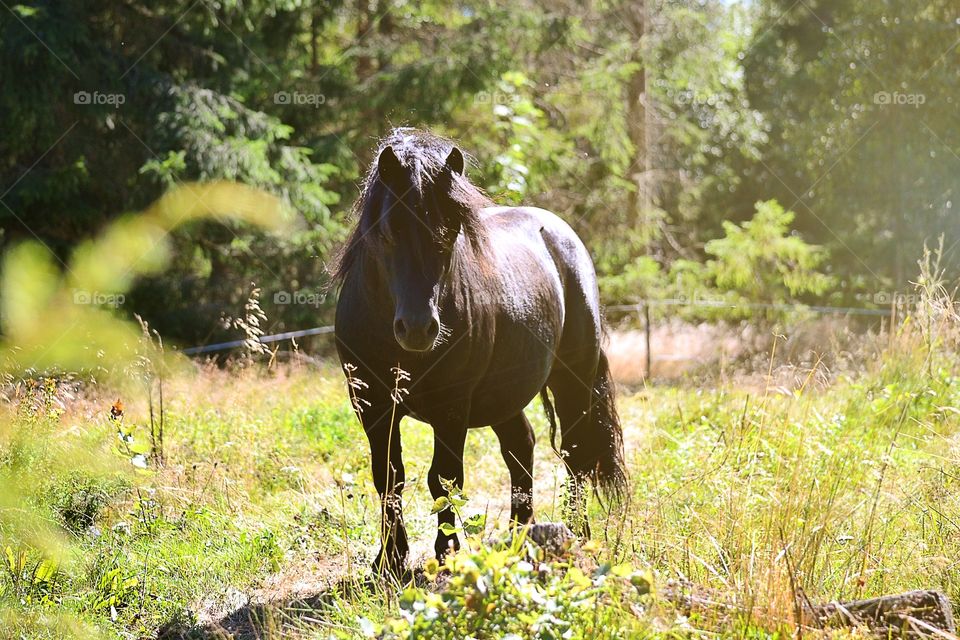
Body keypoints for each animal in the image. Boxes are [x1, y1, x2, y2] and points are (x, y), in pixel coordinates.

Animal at [332, 128, 625, 574]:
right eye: (389, 231)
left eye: (450, 231)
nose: (418, 329)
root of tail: (562, 234)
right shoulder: (372, 404)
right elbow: (388, 476)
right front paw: (389, 559)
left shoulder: (451, 407)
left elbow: (444, 477)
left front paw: (446, 551)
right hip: (505, 395)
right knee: (521, 446)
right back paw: (520, 536)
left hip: (571, 379)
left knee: (574, 456)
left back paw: (577, 533)